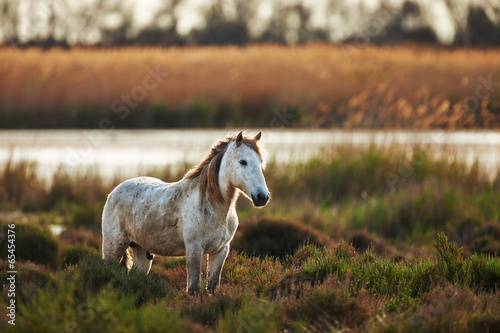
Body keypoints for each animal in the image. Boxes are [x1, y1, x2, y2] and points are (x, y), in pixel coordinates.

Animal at [101, 131, 270, 294]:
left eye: (260, 162)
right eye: (243, 162)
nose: (263, 197)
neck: (213, 208)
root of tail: (114, 192)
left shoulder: (221, 250)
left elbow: (213, 286)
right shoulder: (194, 250)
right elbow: (193, 288)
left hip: (141, 250)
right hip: (114, 248)